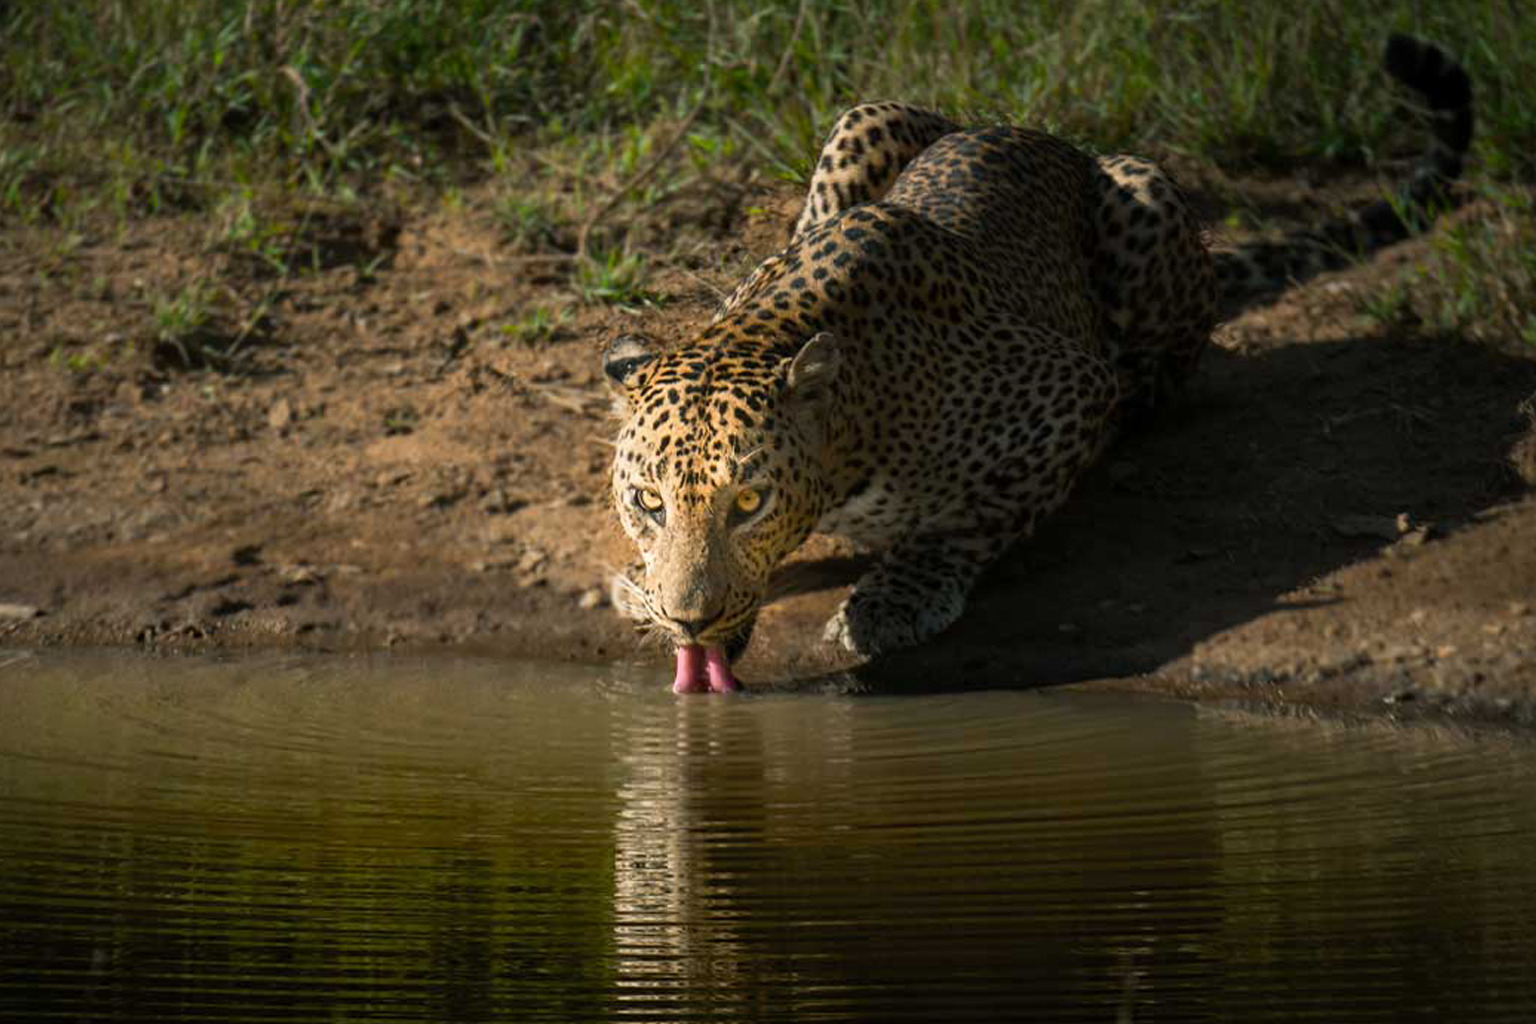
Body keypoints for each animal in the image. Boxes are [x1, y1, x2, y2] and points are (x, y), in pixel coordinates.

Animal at [601, 35, 1474, 693]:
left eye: (748, 502)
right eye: (648, 502)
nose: (689, 618)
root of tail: (1038, 133)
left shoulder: (1068, 396)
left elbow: (972, 518)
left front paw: (893, 599)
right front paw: (645, 594)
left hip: (1145, 201)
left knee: (1164, 370)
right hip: (864, 117)